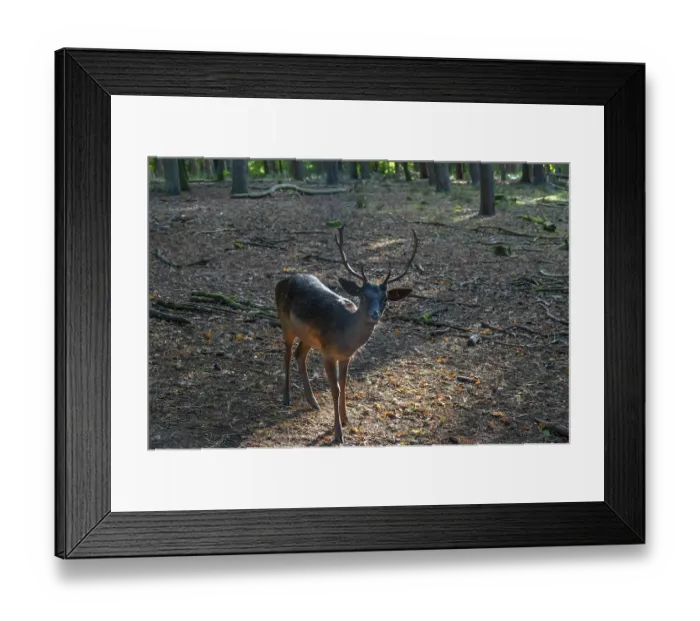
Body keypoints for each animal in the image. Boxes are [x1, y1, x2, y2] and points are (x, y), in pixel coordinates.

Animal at [275, 225, 419, 444]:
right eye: (364, 296)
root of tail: (281, 282)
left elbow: (344, 384)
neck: (345, 337)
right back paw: (286, 399)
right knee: (287, 354)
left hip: (308, 338)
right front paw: (337, 434)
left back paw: (313, 402)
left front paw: (346, 419)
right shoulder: (327, 353)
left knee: (300, 355)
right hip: (286, 324)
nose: (374, 314)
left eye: (385, 298)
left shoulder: (345, 356)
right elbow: (335, 388)